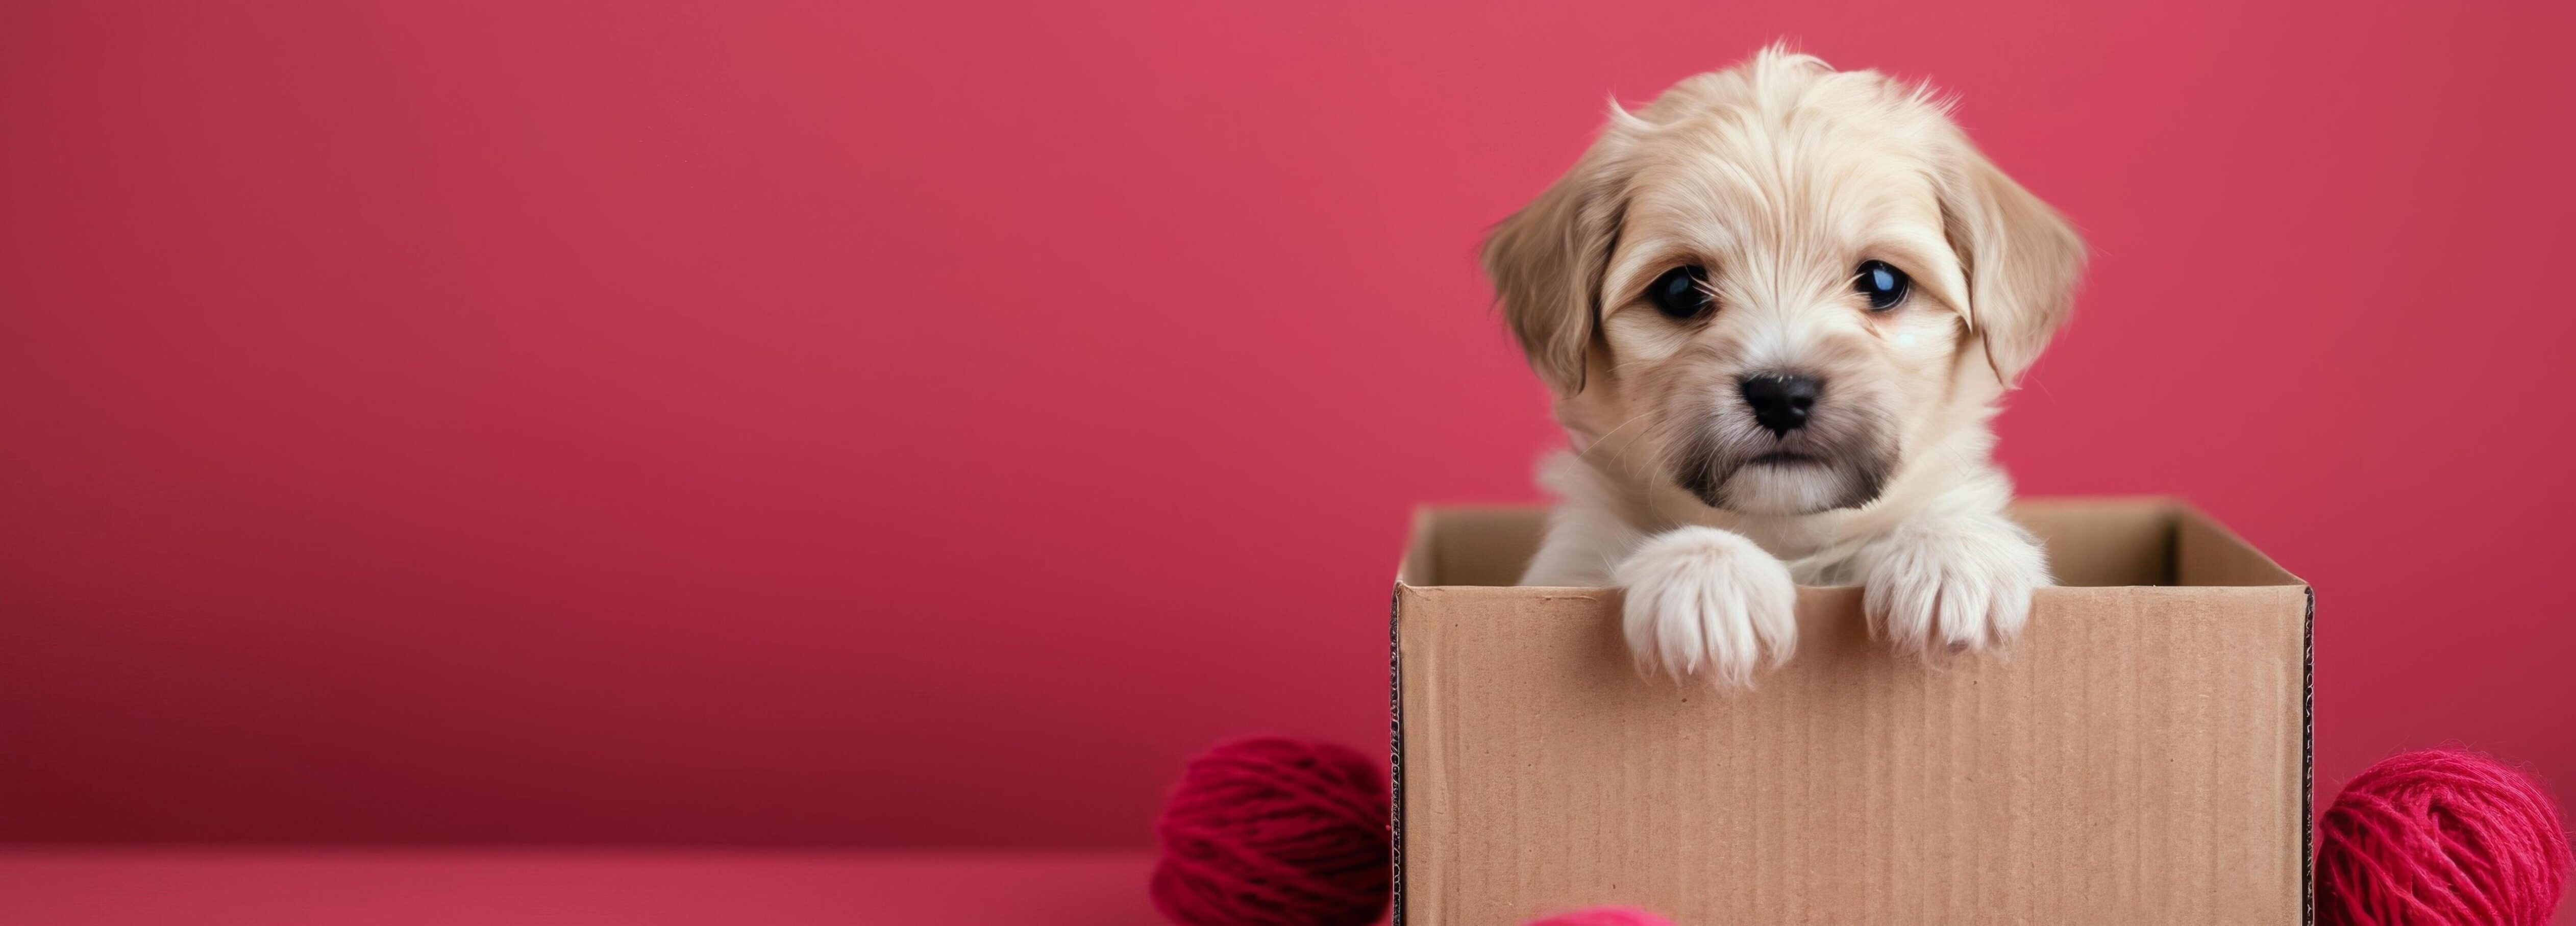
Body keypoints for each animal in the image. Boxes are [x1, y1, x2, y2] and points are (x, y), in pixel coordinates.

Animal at [1483, 51, 2081, 689]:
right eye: (1679, 290)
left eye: (1882, 282)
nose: (1780, 394)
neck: (1791, 542)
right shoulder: (1569, 566)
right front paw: (1706, 575)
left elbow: (1945, 515)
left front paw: (1952, 554)